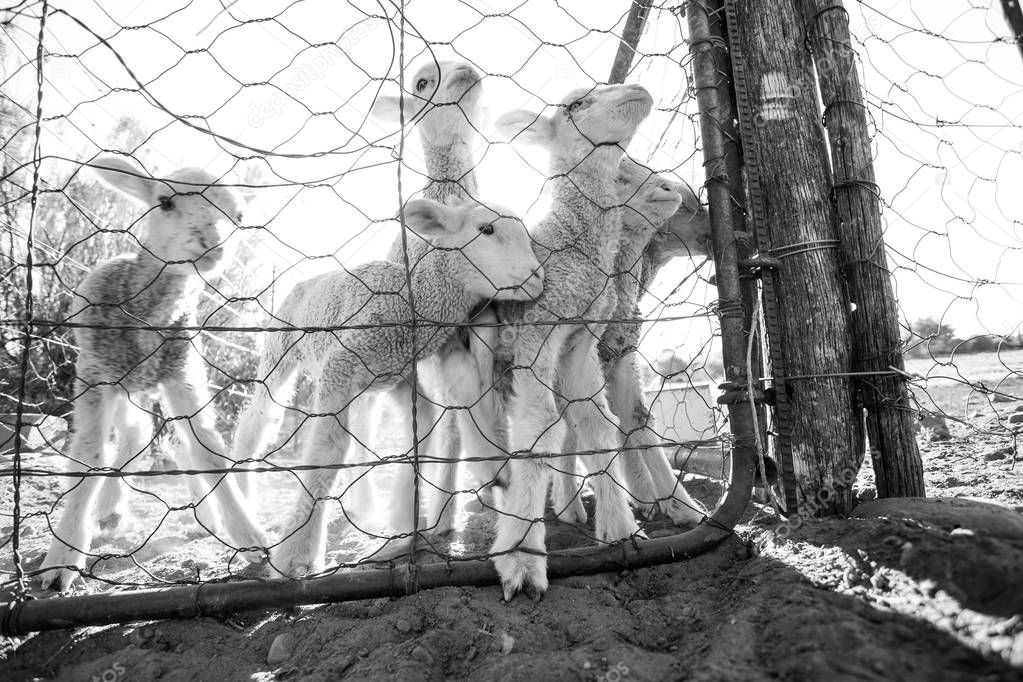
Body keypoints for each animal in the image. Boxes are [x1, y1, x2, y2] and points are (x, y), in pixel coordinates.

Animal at [38, 156, 268, 593]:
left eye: (239, 216)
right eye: (164, 202)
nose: (213, 246)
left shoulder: (182, 372)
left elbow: (207, 450)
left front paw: (249, 537)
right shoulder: (96, 376)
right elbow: (91, 453)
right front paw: (62, 558)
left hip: (151, 381)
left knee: (151, 436)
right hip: (114, 378)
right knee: (125, 436)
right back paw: (106, 508)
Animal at [233, 197, 548, 576]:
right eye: (486, 229)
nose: (537, 276)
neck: (410, 302)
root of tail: (306, 280)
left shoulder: (398, 372)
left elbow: (431, 418)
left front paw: (405, 514)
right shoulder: (341, 367)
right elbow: (328, 450)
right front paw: (298, 555)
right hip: (279, 349)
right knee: (257, 421)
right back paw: (243, 512)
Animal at [486, 82, 654, 601]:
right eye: (576, 104)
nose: (639, 90)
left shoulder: (580, 339)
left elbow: (596, 425)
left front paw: (621, 531)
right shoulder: (538, 328)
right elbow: (542, 426)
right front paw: (522, 561)